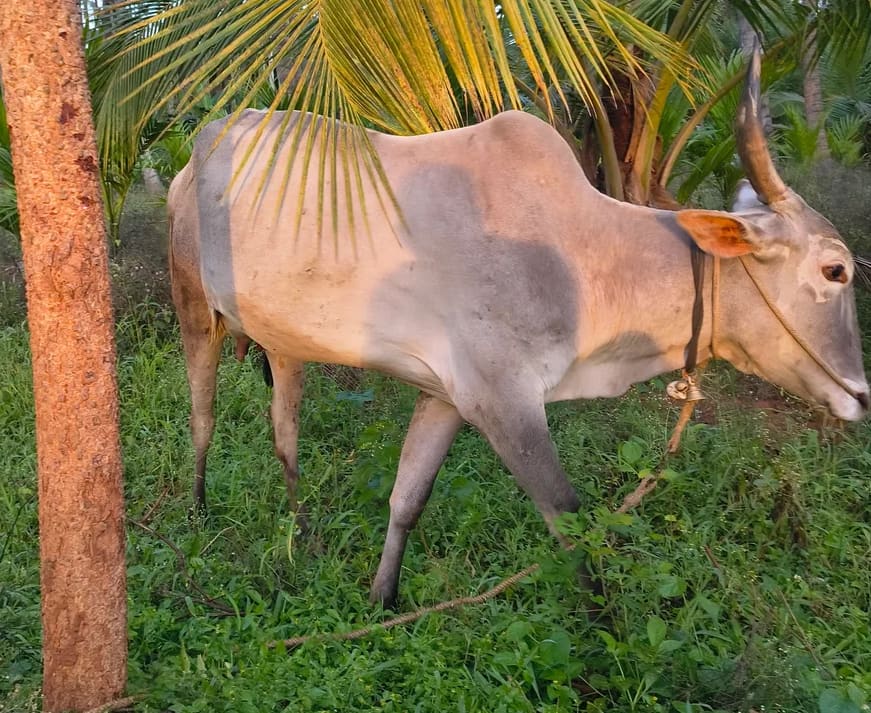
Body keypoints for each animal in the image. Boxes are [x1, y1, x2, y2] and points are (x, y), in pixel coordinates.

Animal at [168, 52, 868, 608]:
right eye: (835, 270)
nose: (860, 396)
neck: (585, 254)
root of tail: (207, 141)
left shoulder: (446, 397)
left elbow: (406, 500)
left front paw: (381, 601)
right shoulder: (503, 400)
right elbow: (569, 523)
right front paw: (601, 638)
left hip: (284, 343)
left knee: (284, 433)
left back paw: (301, 531)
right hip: (192, 305)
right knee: (202, 414)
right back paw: (198, 513)